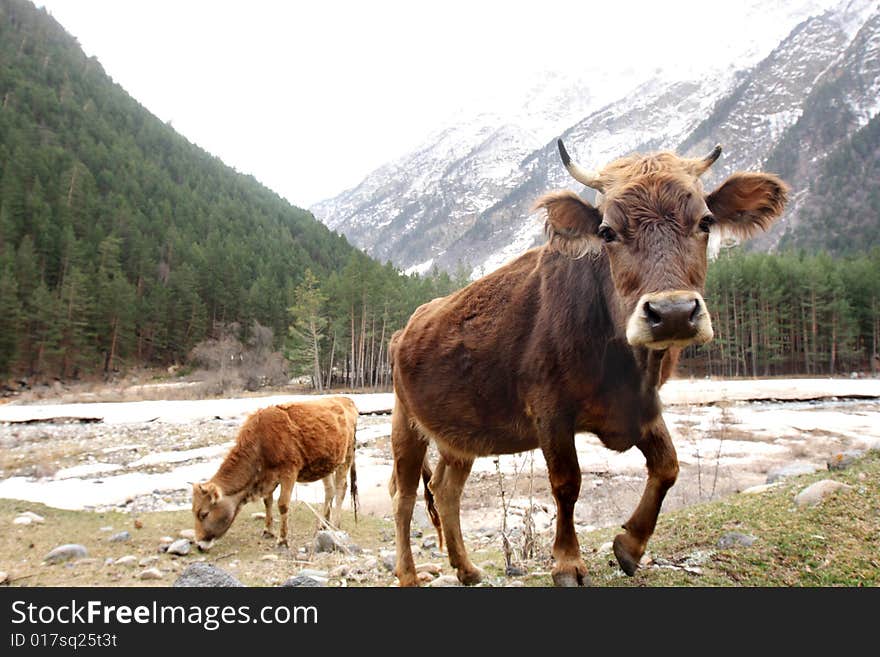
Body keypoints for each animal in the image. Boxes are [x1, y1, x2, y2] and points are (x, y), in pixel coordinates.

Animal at [192, 394, 358, 548]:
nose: (199, 544)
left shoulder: (289, 471)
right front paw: (268, 530)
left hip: (347, 455)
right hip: (326, 463)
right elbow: (268, 501)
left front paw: (282, 539)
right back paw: (323, 525)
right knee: (329, 490)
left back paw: (335, 525)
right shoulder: (268, 477)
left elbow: (283, 504)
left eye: (204, 514)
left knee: (340, 489)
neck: (261, 442)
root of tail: (345, 399)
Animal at [388, 138, 788, 584]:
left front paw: (630, 545)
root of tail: (409, 326)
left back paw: (468, 568)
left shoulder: (642, 408)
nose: (672, 313)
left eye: (705, 221)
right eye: (607, 231)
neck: (626, 365)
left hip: (461, 434)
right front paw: (567, 562)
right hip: (405, 423)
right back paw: (409, 574)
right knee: (404, 499)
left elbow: (668, 467)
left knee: (445, 489)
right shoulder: (550, 414)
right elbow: (567, 484)